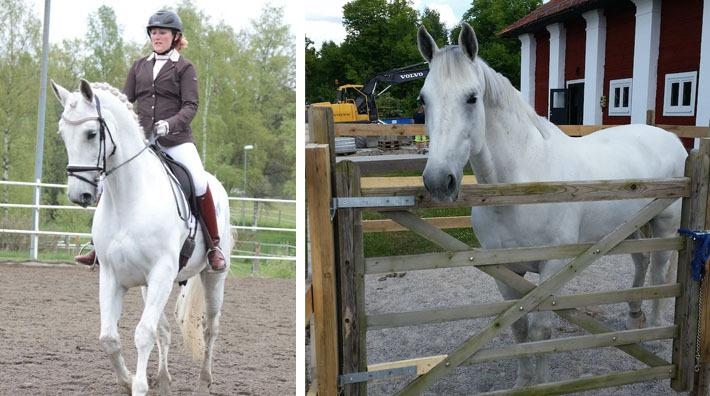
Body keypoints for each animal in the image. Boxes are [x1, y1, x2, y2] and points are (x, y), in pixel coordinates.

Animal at [50, 79, 234, 394]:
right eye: (63, 133)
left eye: (91, 133)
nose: (79, 195)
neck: (128, 198)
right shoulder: (112, 276)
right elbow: (109, 337)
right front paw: (127, 381)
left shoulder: (161, 272)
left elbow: (143, 333)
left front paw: (138, 385)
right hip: (150, 286)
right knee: (165, 329)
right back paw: (163, 380)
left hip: (212, 277)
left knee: (211, 327)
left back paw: (204, 380)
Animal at [418, 23, 688, 386]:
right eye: (423, 99)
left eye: (472, 98)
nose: (438, 180)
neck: (522, 186)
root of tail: (671, 137)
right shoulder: (504, 271)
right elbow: (518, 330)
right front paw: (522, 382)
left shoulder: (552, 268)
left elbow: (540, 333)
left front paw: (541, 382)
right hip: (628, 227)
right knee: (641, 261)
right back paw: (634, 317)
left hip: (664, 224)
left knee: (659, 271)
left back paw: (655, 334)